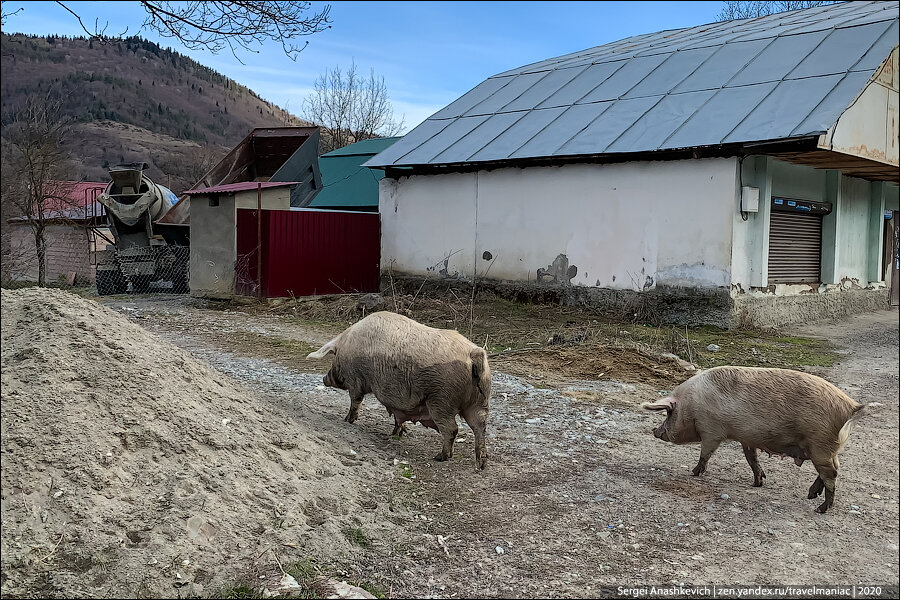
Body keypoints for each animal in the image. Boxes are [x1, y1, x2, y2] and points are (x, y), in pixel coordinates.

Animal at [308, 312, 492, 472]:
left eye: (334, 357)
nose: (324, 378)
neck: (346, 345)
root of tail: (473, 354)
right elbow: (398, 416)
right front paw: (397, 433)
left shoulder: (355, 381)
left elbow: (355, 401)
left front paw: (347, 420)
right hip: (479, 402)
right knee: (480, 427)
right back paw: (481, 464)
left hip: (441, 400)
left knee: (452, 429)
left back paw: (440, 457)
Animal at [644, 364, 860, 512]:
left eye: (669, 413)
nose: (655, 430)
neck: (691, 405)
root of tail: (851, 406)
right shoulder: (746, 438)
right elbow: (752, 459)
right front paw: (758, 483)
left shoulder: (711, 430)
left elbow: (705, 454)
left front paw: (694, 472)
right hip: (827, 448)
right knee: (834, 469)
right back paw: (810, 496)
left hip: (820, 444)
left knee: (831, 473)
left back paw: (820, 508)